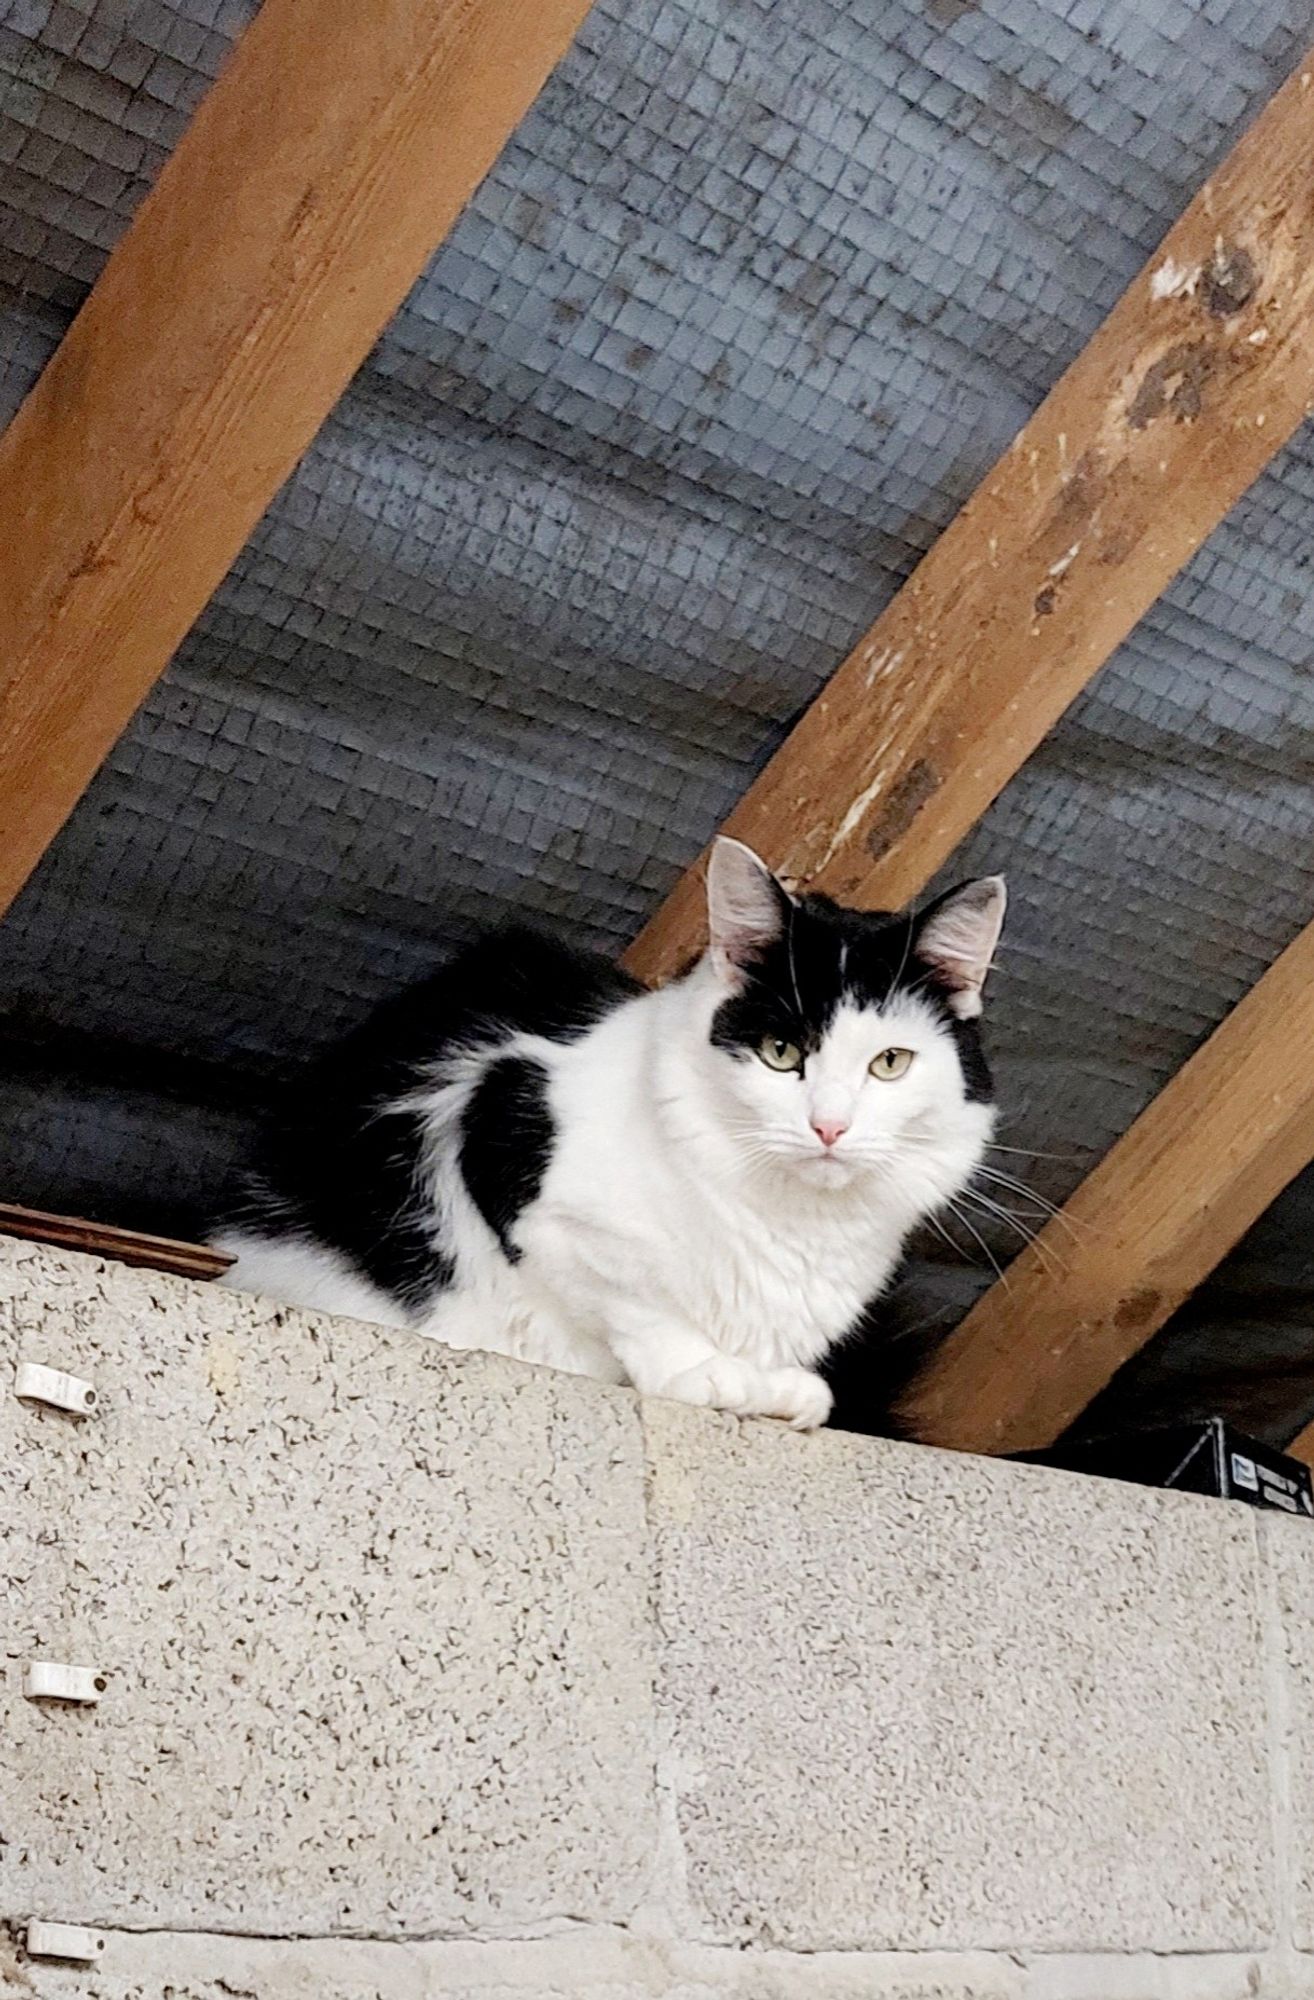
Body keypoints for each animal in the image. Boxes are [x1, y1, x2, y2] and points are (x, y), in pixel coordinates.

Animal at [213, 836, 1004, 1432]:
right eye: (781, 1053)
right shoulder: (506, 1132)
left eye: (890, 1063)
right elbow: (632, 1299)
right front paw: (704, 1371)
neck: (794, 1223)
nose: (829, 1126)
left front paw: (777, 1384)